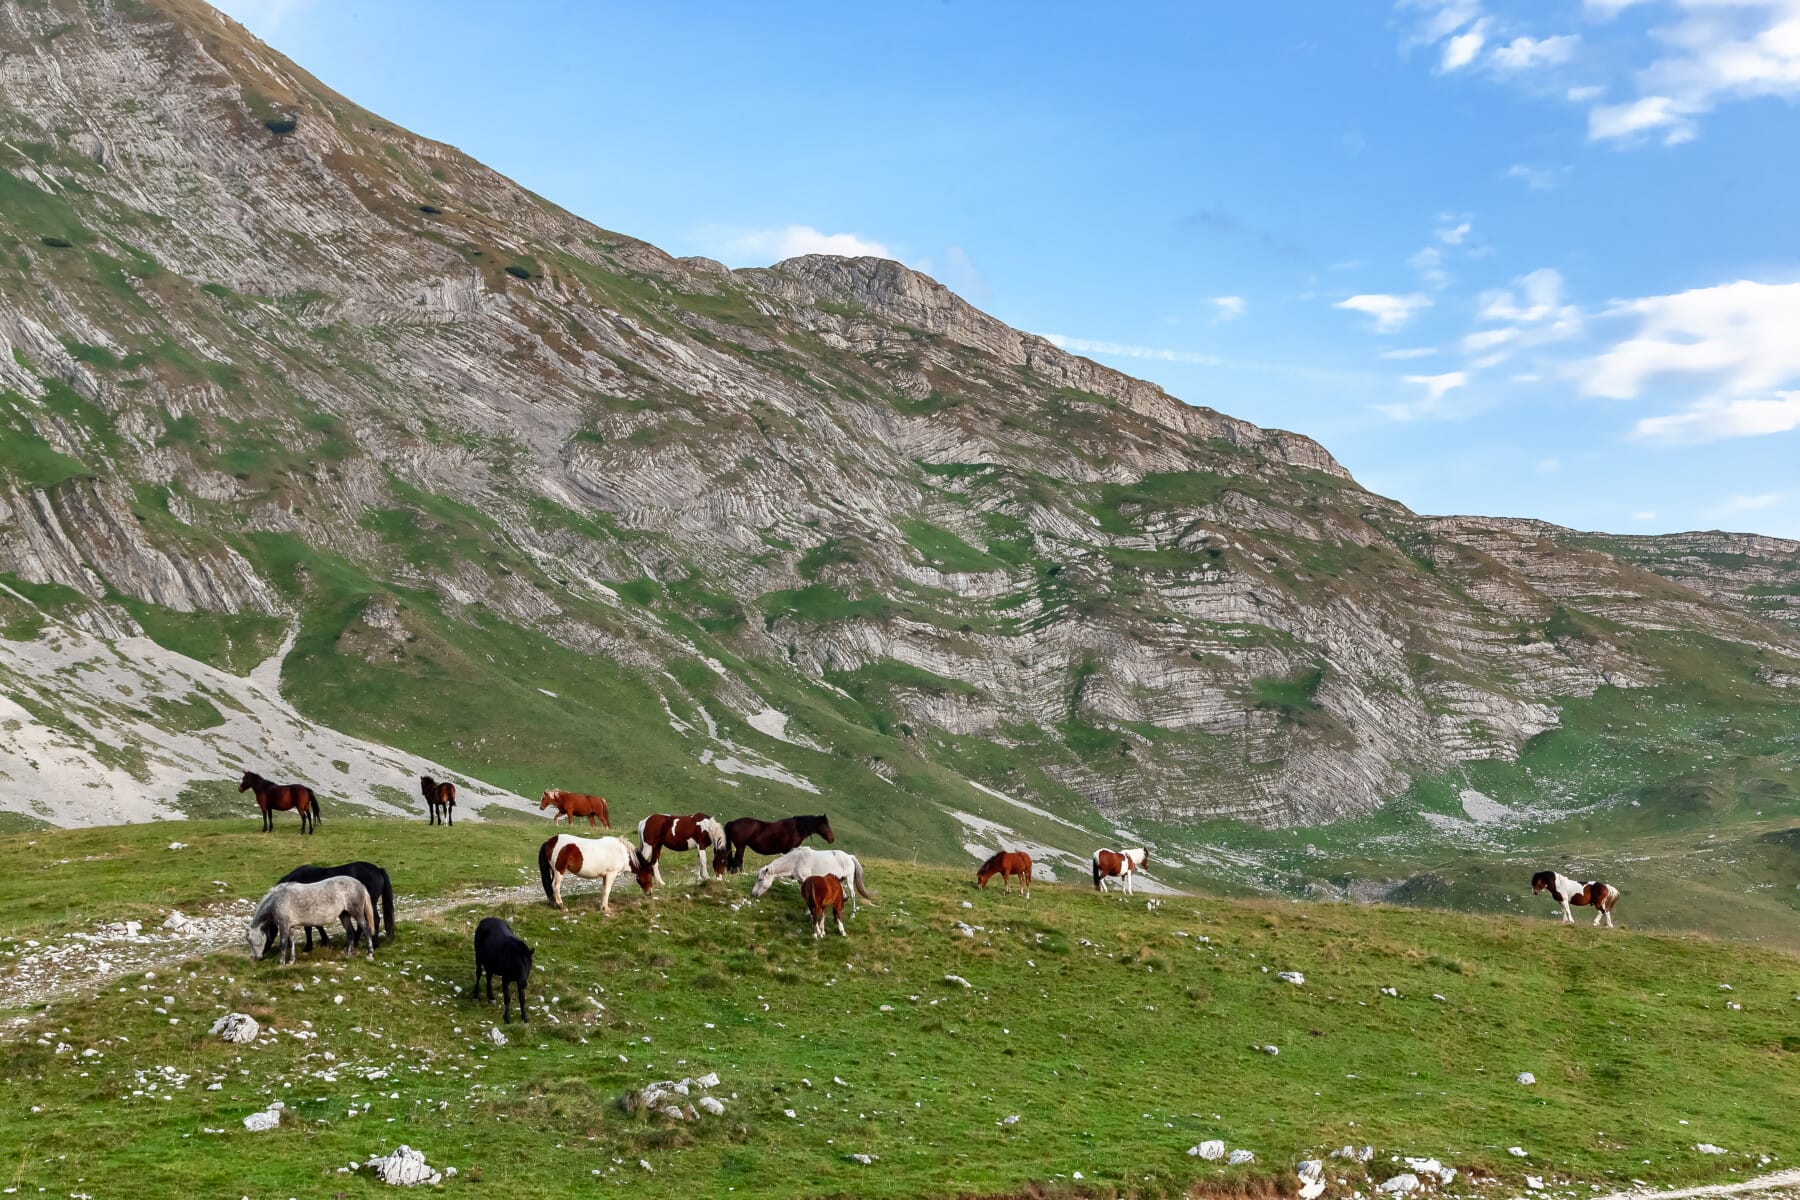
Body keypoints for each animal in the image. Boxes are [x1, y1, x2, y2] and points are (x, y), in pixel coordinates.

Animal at [246, 877, 374, 964]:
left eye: (251, 940)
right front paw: (291, 961)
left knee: (366, 929)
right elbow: (291, 942)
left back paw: (370, 954)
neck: (277, 899)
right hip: (344, 915)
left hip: (357, 914)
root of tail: (360, 884)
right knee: (350, 933)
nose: (257, 958)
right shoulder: (290, 926)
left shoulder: (283, 925)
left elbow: (283, 944)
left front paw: (281, 963)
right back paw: (348, 954)